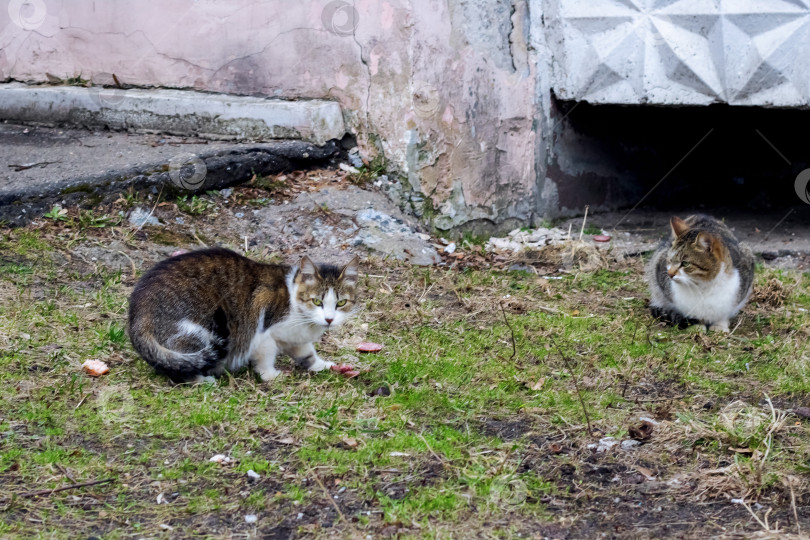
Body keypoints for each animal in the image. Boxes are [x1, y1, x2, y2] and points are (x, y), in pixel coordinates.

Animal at [129, 249, 356, 384]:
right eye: (317, 302)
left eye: (341, 303)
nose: (329, 319)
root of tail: (137, 314)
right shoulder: (263, 331)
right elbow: (265, 357)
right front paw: (270, 375)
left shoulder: (294, 338)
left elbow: (307, 354)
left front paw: (322, 365)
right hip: (196, 330)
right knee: (181, 363)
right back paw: (201, 380)